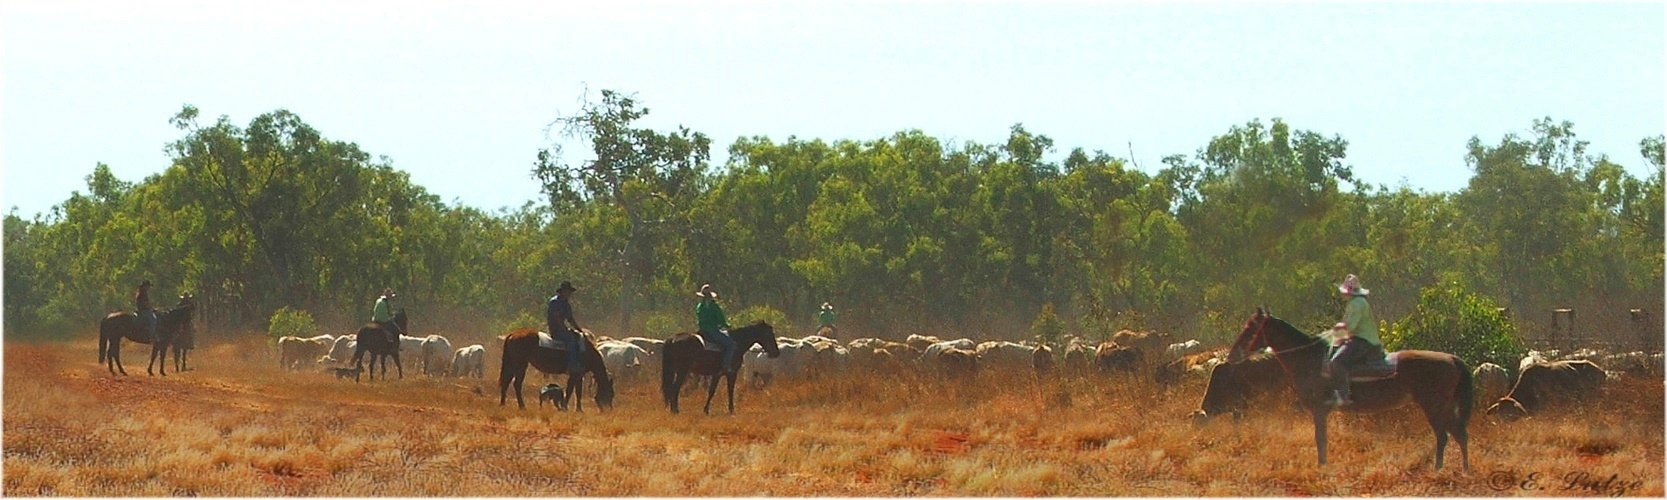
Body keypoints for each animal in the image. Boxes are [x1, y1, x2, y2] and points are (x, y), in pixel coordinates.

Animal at [1226, 306, 1473, 470]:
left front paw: (1322, 467)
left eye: (1251, 328)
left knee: (1444, 435)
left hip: (1433, 406)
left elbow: (1320, 439)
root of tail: (1452, 359)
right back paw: (1463, 469)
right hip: (1443, 407)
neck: (1309, 359)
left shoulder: (1319, 410)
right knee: (1459, 434)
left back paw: (1439, 470)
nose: (1231, 355)